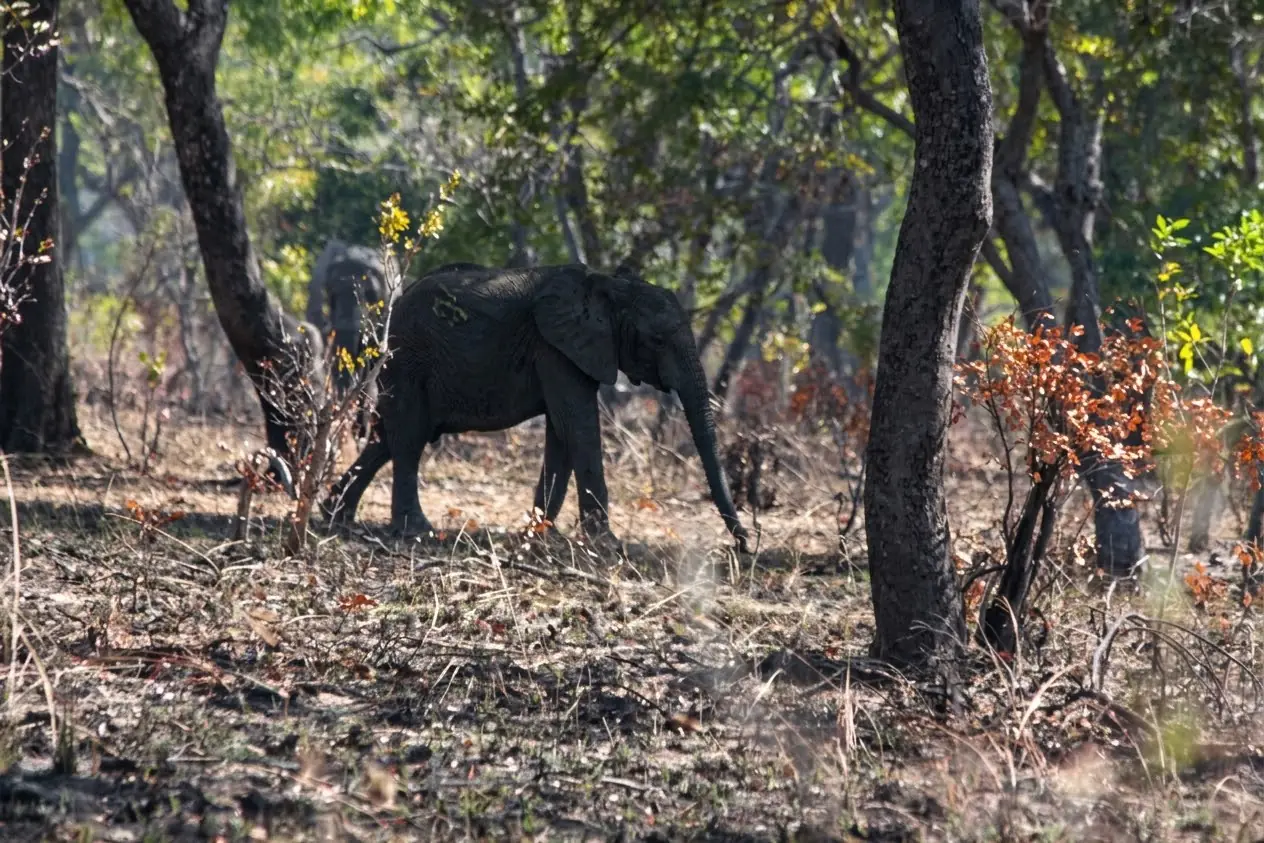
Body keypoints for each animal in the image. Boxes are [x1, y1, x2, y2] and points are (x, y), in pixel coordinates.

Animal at [322, 263, 752, 552]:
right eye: (658, 340)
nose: (744, 544)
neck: (608, 286)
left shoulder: (567, 350)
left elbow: (562, 432)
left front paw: (541, 534)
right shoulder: (555, 347)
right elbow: (578, 424)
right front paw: (606, 543)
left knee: (387, 438)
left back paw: (334, 516)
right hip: (409, 358)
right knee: (409, 439)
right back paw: (416, 531)